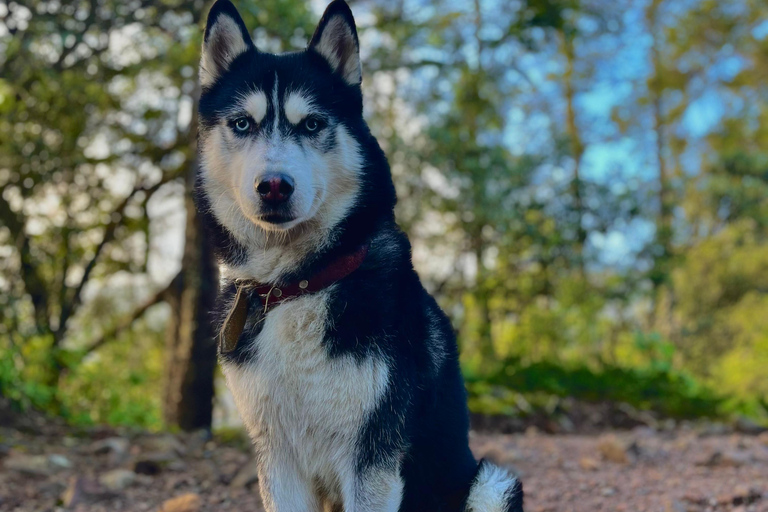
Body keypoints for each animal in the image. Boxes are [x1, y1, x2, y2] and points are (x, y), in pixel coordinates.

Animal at [195, 1, 524, 512]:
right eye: (242, 124)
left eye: (312, 124)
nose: (274, 186)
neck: (298, 285)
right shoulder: (277, 456)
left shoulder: (372, 458)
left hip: (492, 482)